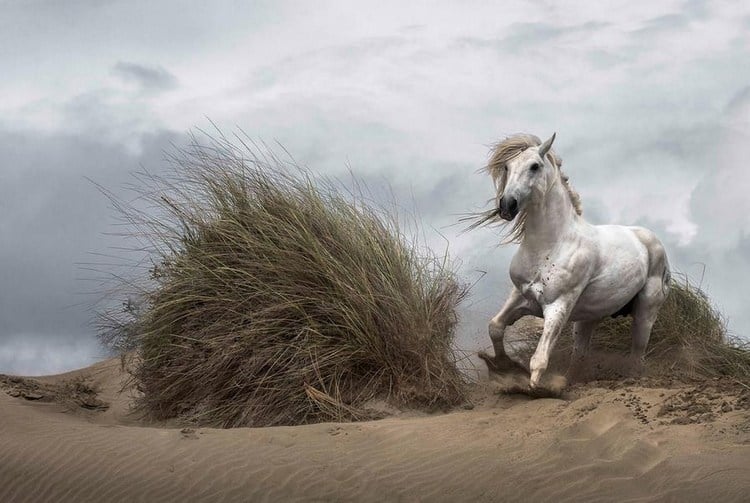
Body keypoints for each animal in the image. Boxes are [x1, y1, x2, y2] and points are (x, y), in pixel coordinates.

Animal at [478, 133, 672, 390]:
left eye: (534, 166)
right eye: (507, 167)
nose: (507, 205)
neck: (551, 244)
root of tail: (651, 240)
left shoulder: (557, 305)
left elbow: (539, 359)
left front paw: (532, 387)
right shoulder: (521, 296)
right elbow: (495, 327)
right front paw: (502, 368)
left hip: (645, 314)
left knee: (636, 357)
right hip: (587, 320)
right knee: (580, 356)